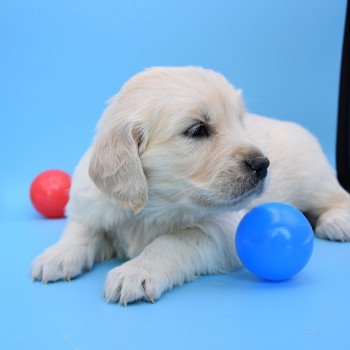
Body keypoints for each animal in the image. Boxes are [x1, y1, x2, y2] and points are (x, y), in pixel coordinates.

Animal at [30, 67, 350, 304]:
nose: (262, 164)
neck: (153, 205)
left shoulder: (222, 232)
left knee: (337, 196)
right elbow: (81, 230)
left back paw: (337, 222)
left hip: (313, 177)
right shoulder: (91, 204)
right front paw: (57, 255)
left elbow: (172, 241)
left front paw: (136, 271)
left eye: (240, 121)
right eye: (198, 129)